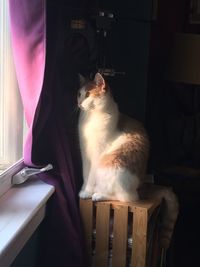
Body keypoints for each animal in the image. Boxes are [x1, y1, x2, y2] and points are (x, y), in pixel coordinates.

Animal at [77, 72, 179, 250]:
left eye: (88, 94)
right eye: (79, 94)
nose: (79, 103)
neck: (91, 118)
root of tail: (143, 186)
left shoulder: (96, 157)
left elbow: (90, 178)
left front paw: (88, 193)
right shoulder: (85, 157)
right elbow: (85, 176)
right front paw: (84, 191)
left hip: (110, 166)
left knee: (126, 197)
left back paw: (98, 195)